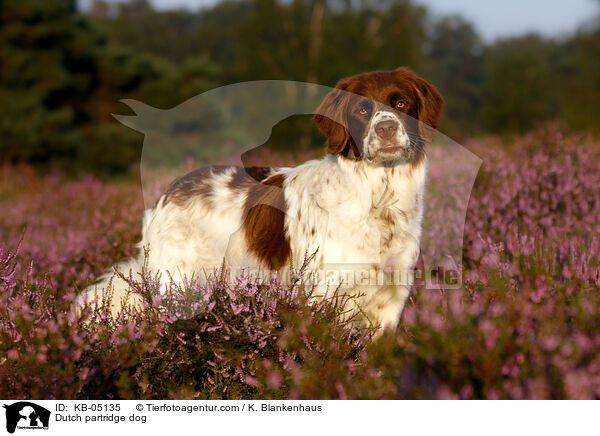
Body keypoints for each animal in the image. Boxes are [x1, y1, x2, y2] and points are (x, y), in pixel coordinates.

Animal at [78, 68, 440, 332]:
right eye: (362, 109)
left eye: (402, 104)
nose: (386, 129)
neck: (380, 200)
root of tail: (166, 196)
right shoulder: (325, 299)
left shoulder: (389, 303)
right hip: (177, 288)